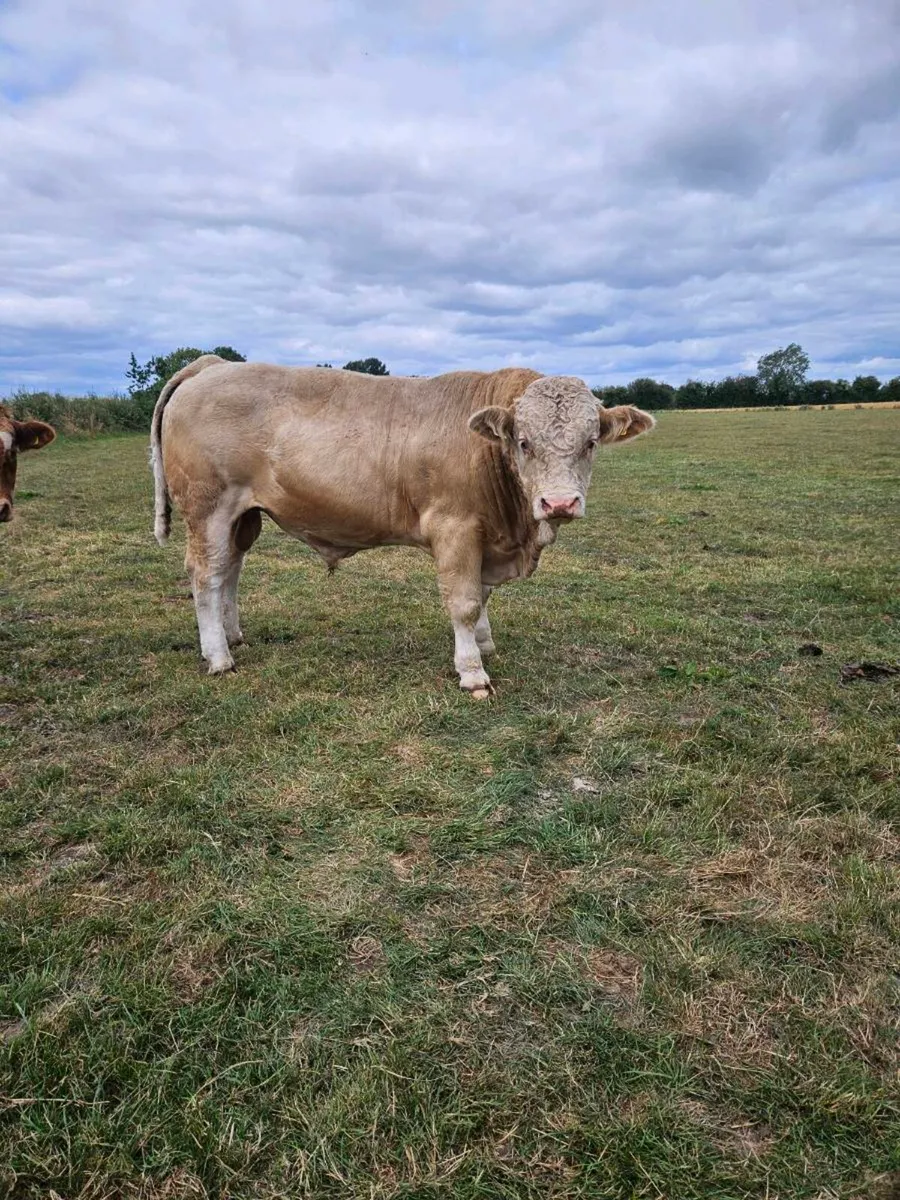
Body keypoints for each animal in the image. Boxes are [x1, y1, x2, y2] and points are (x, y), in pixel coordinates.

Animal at [150, 356, 654, 697]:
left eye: (591, 442)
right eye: (524, 442)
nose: (560, 502)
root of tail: (212, 364)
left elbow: (482, 595)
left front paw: (485, 642)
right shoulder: (455, 528)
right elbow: (464, 602)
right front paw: (472, 669)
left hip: (242, 516)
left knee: (230, 569)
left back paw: (233, 634)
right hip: (209, 508)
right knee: (206, 576)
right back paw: (219, 656)